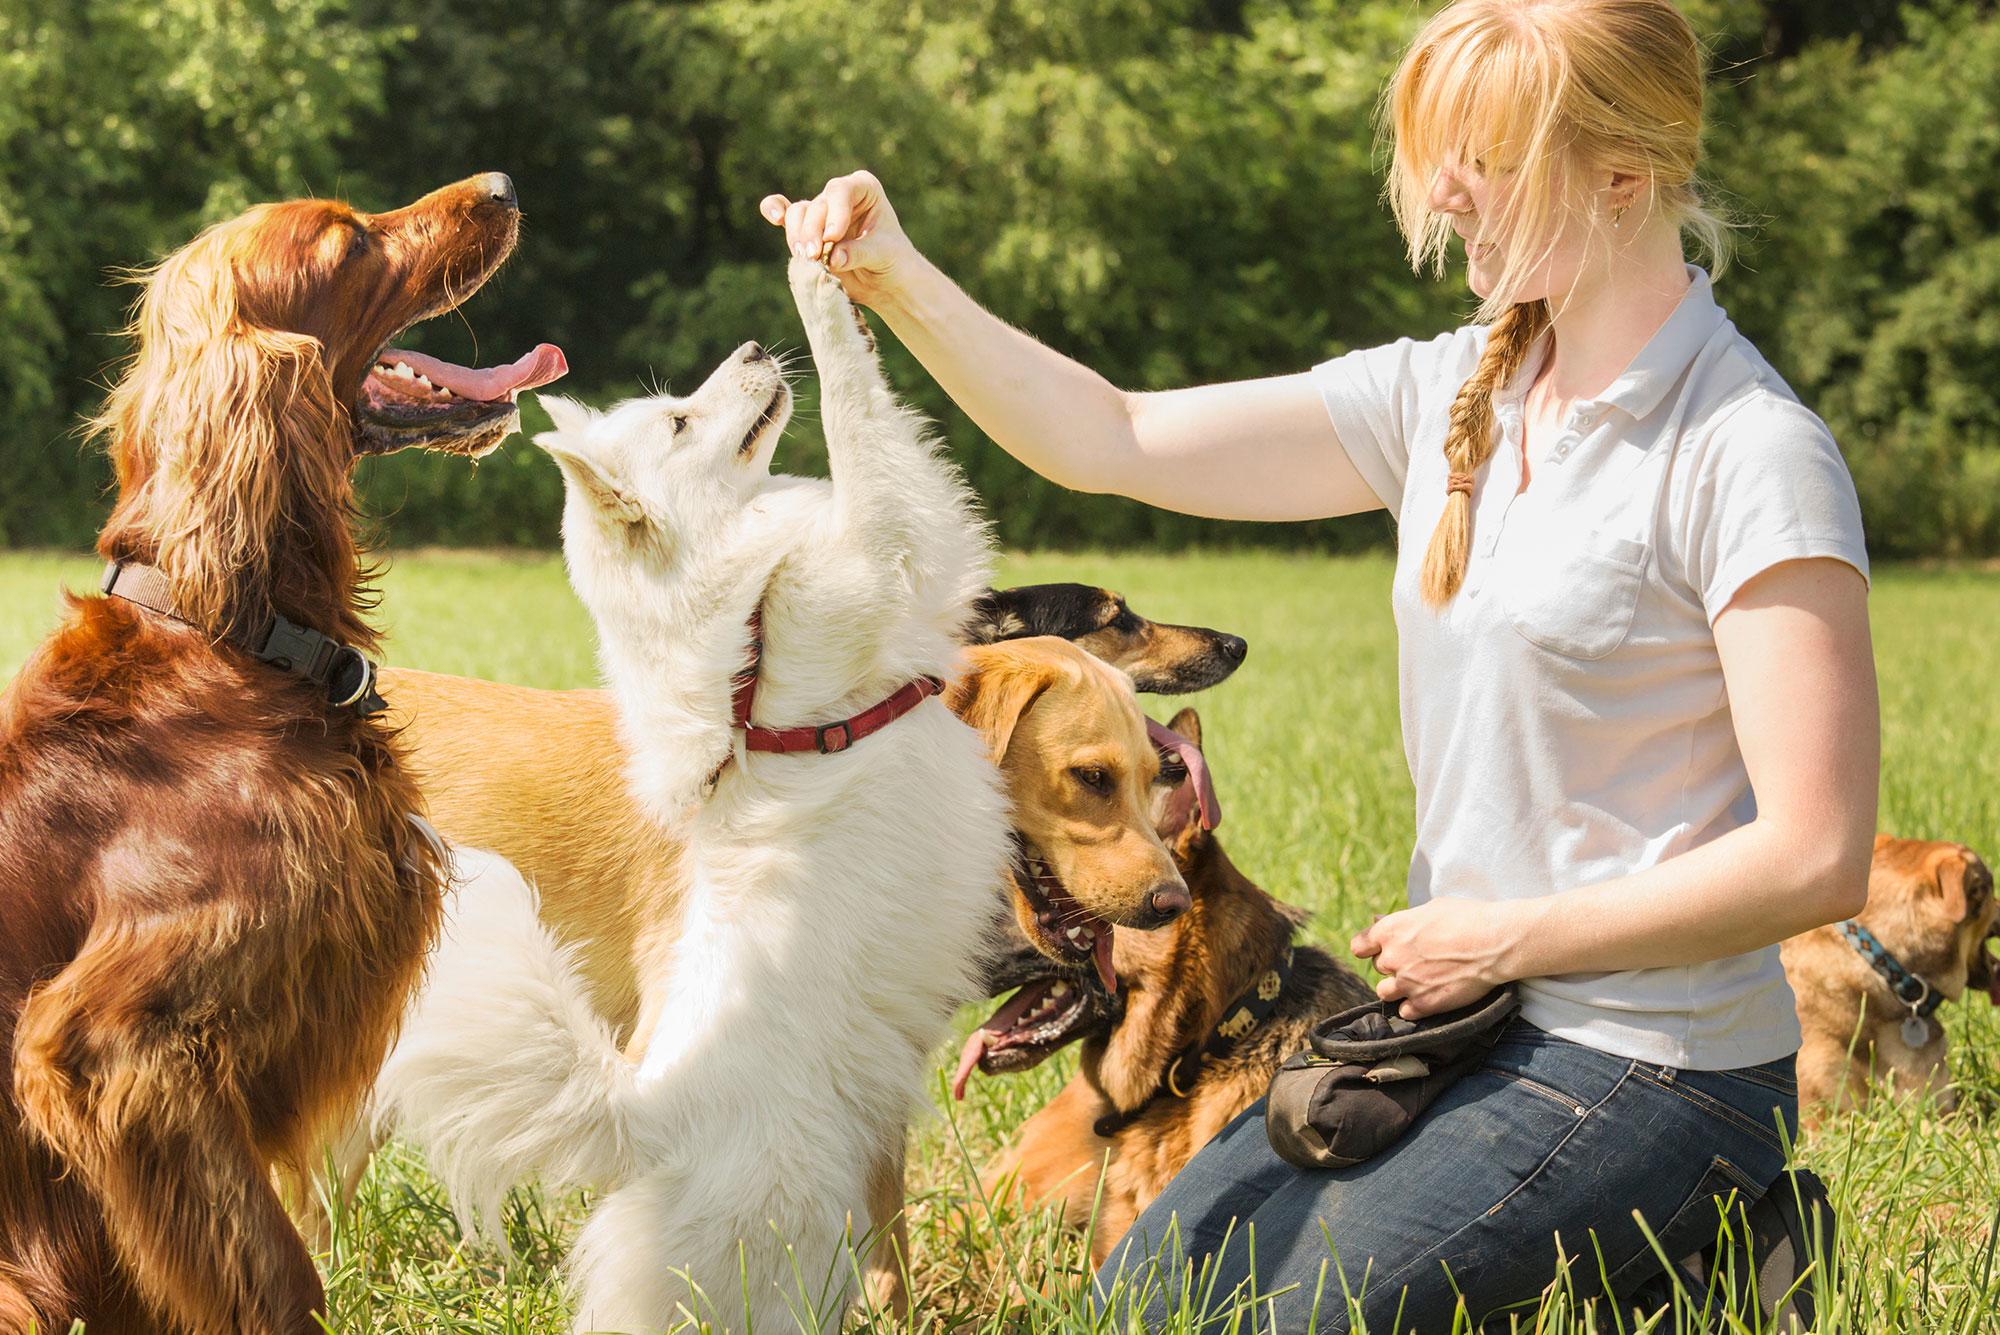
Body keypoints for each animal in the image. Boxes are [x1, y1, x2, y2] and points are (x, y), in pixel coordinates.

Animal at [372, 255, 1016, 1327]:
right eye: (679, 421)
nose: (752, 346)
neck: (746, 623)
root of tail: (645, 1113)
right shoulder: (892, 540)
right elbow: (860, 417)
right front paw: (818, 286)